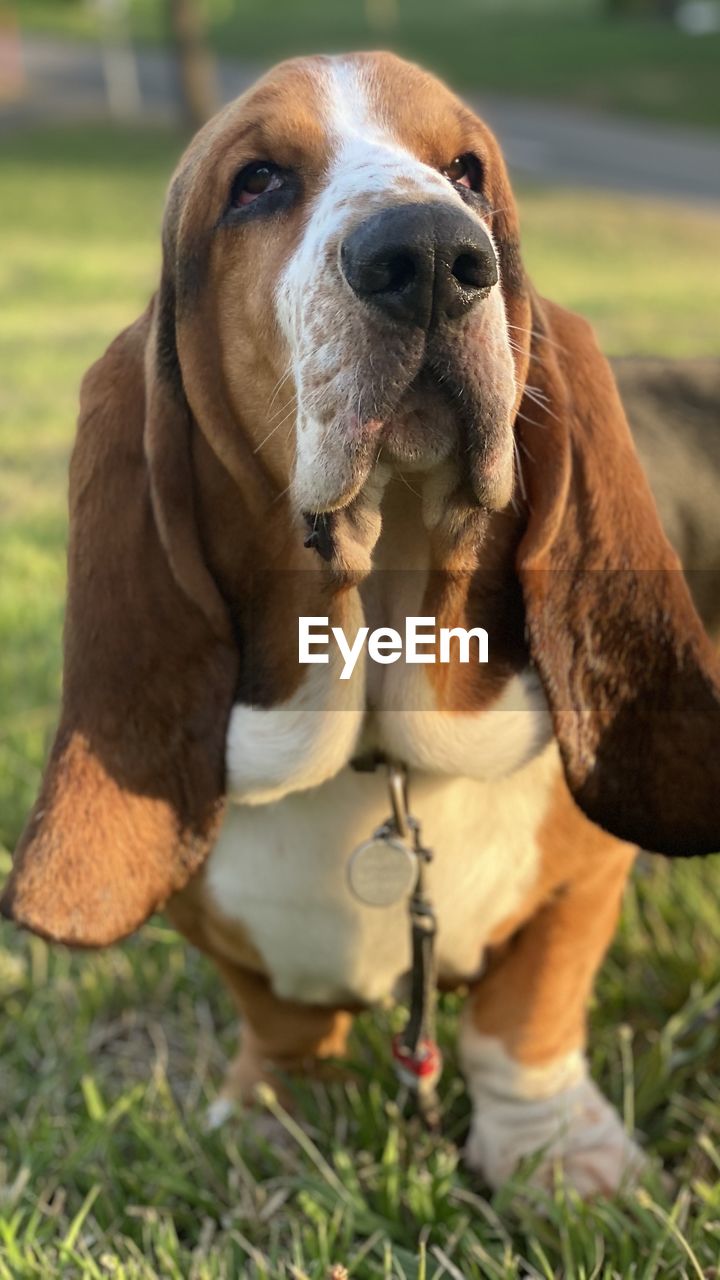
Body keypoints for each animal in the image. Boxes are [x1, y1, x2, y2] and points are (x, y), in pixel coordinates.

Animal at [1, 47, 717, 1187]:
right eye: (254, 182)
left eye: (468, 172)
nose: (429, 254)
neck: (377, 749)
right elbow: (278, 1010)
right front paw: (274, 1109)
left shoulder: (584, 885)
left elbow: (524, 1013)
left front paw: (557, 1152)